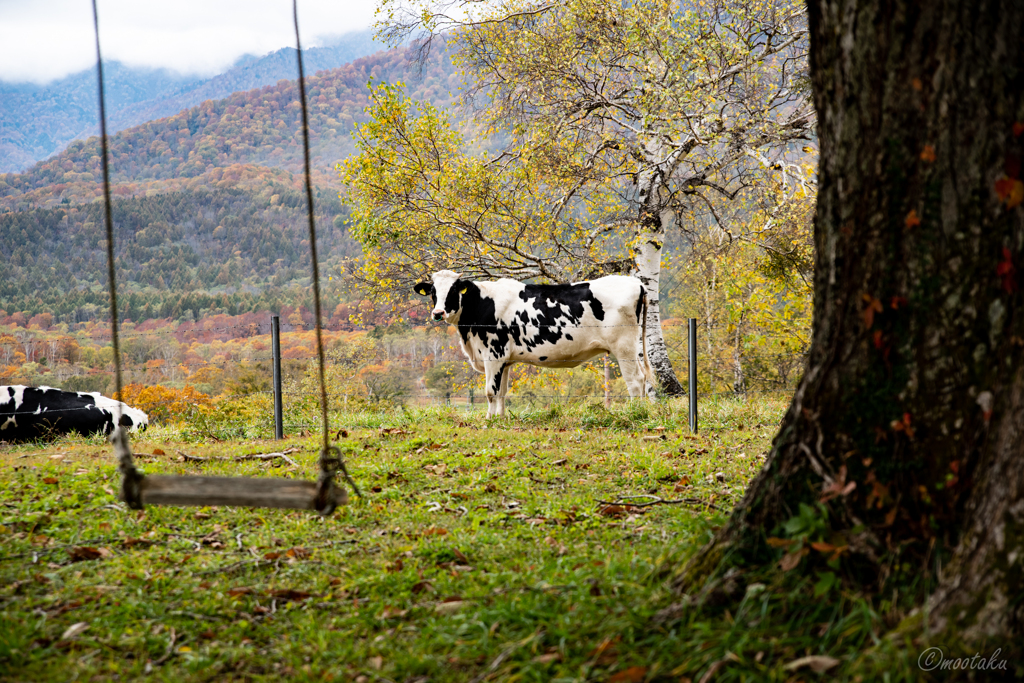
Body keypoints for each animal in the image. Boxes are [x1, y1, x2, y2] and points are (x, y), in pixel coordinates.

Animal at [411, 272, 651, 417]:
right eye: (433, 292)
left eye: (453, 291)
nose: (438, 313)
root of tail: (635, 281)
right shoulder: (504, 360)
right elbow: (502, 392)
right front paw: (500, 418)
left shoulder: (493, 353)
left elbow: (490, 391)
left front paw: (488, 420)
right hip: (633, 347)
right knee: (642, 379)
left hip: (624, 347)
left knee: (636, 381)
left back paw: (636, 413)